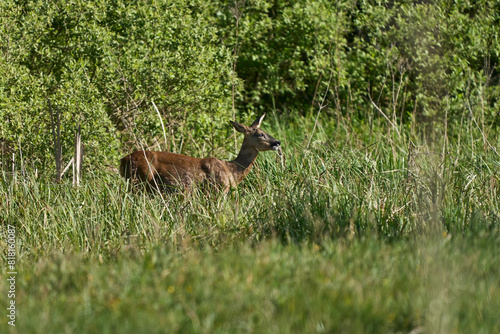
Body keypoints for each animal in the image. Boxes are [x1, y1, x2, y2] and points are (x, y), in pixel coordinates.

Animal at [119, 114, 280, 193]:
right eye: (260, 134)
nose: (277, 142)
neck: (232, 171)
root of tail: (123, 160)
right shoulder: (219, 188)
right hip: (140, 179)